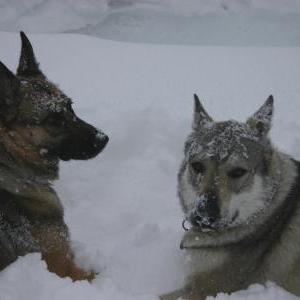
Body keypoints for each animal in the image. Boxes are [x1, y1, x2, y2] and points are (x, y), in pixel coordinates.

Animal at [0, 32, 108, 282]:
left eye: (70, 106)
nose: (104, 139)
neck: (11, 161)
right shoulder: (62, 267)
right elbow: (95, 275)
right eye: (54, 119)